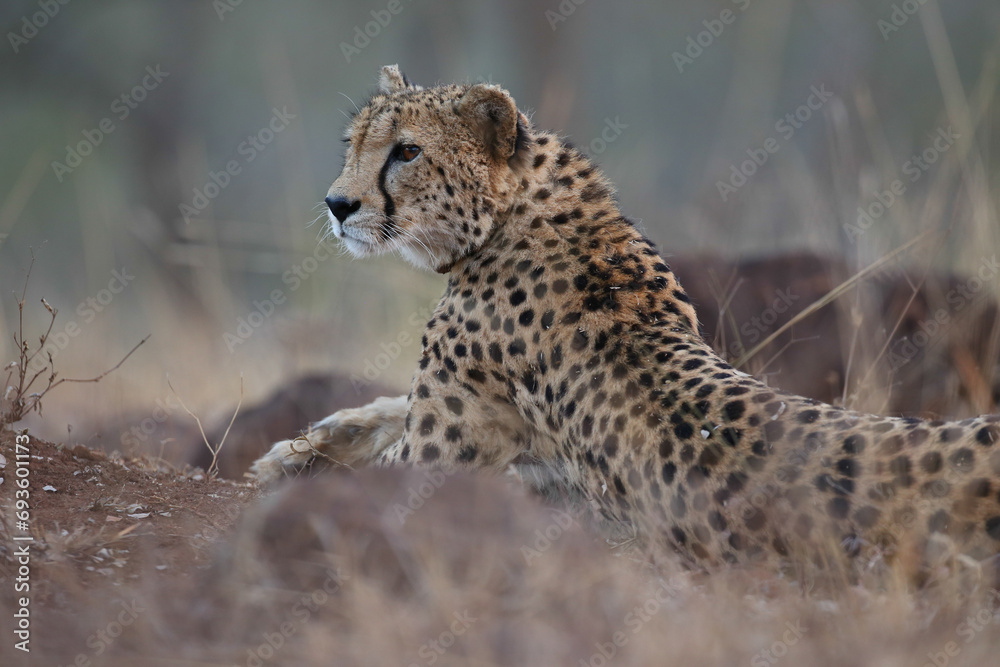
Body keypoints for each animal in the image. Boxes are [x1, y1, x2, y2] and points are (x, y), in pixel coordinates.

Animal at [252, 65, 1000, 581]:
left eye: (406, 152)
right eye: (354, 143)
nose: (338, 204)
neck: (513, 213)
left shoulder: (438, 459)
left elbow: (375, 464)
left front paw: (302, 463)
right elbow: (385, 407)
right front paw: (296, 445)